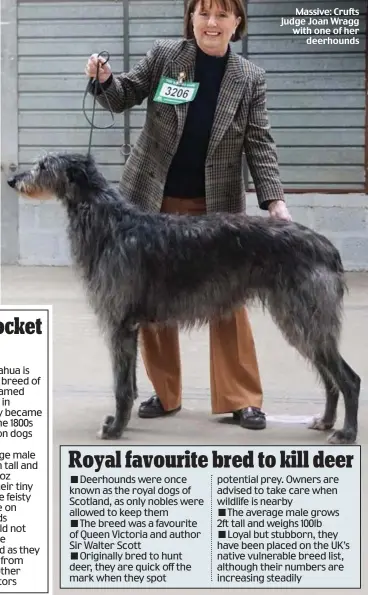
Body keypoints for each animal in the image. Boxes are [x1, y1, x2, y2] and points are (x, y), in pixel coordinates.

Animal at [7, 151, 360, 444]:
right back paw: (326, 421)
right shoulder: (130, 325)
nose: (12, 180)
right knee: (330, 377)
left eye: (43, 166)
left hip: (305, 315)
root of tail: (328, 248)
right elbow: (129, 384)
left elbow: (121, 387)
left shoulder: (120, 323)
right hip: (300, 320)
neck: (109, 223)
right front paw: (122, 422)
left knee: (349, 379)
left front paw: (114, 428)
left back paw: (346, 432)